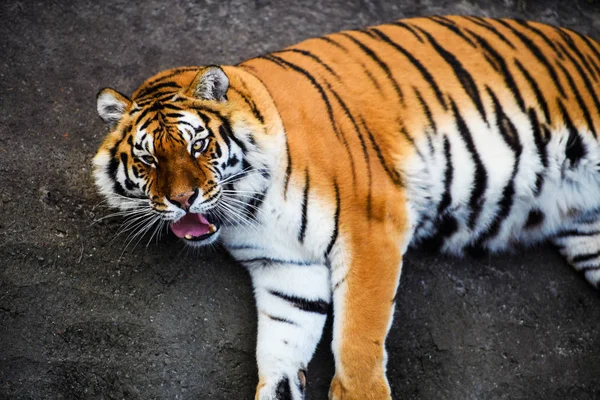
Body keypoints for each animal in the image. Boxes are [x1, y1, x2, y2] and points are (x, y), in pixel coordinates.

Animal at [92, 15, 600, 400]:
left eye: (197, 145)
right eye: (148, 159)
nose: (183, 200)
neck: (250, 209)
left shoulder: (372, 229)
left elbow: (357, 341)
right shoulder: (287, 272)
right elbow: (278, 355)